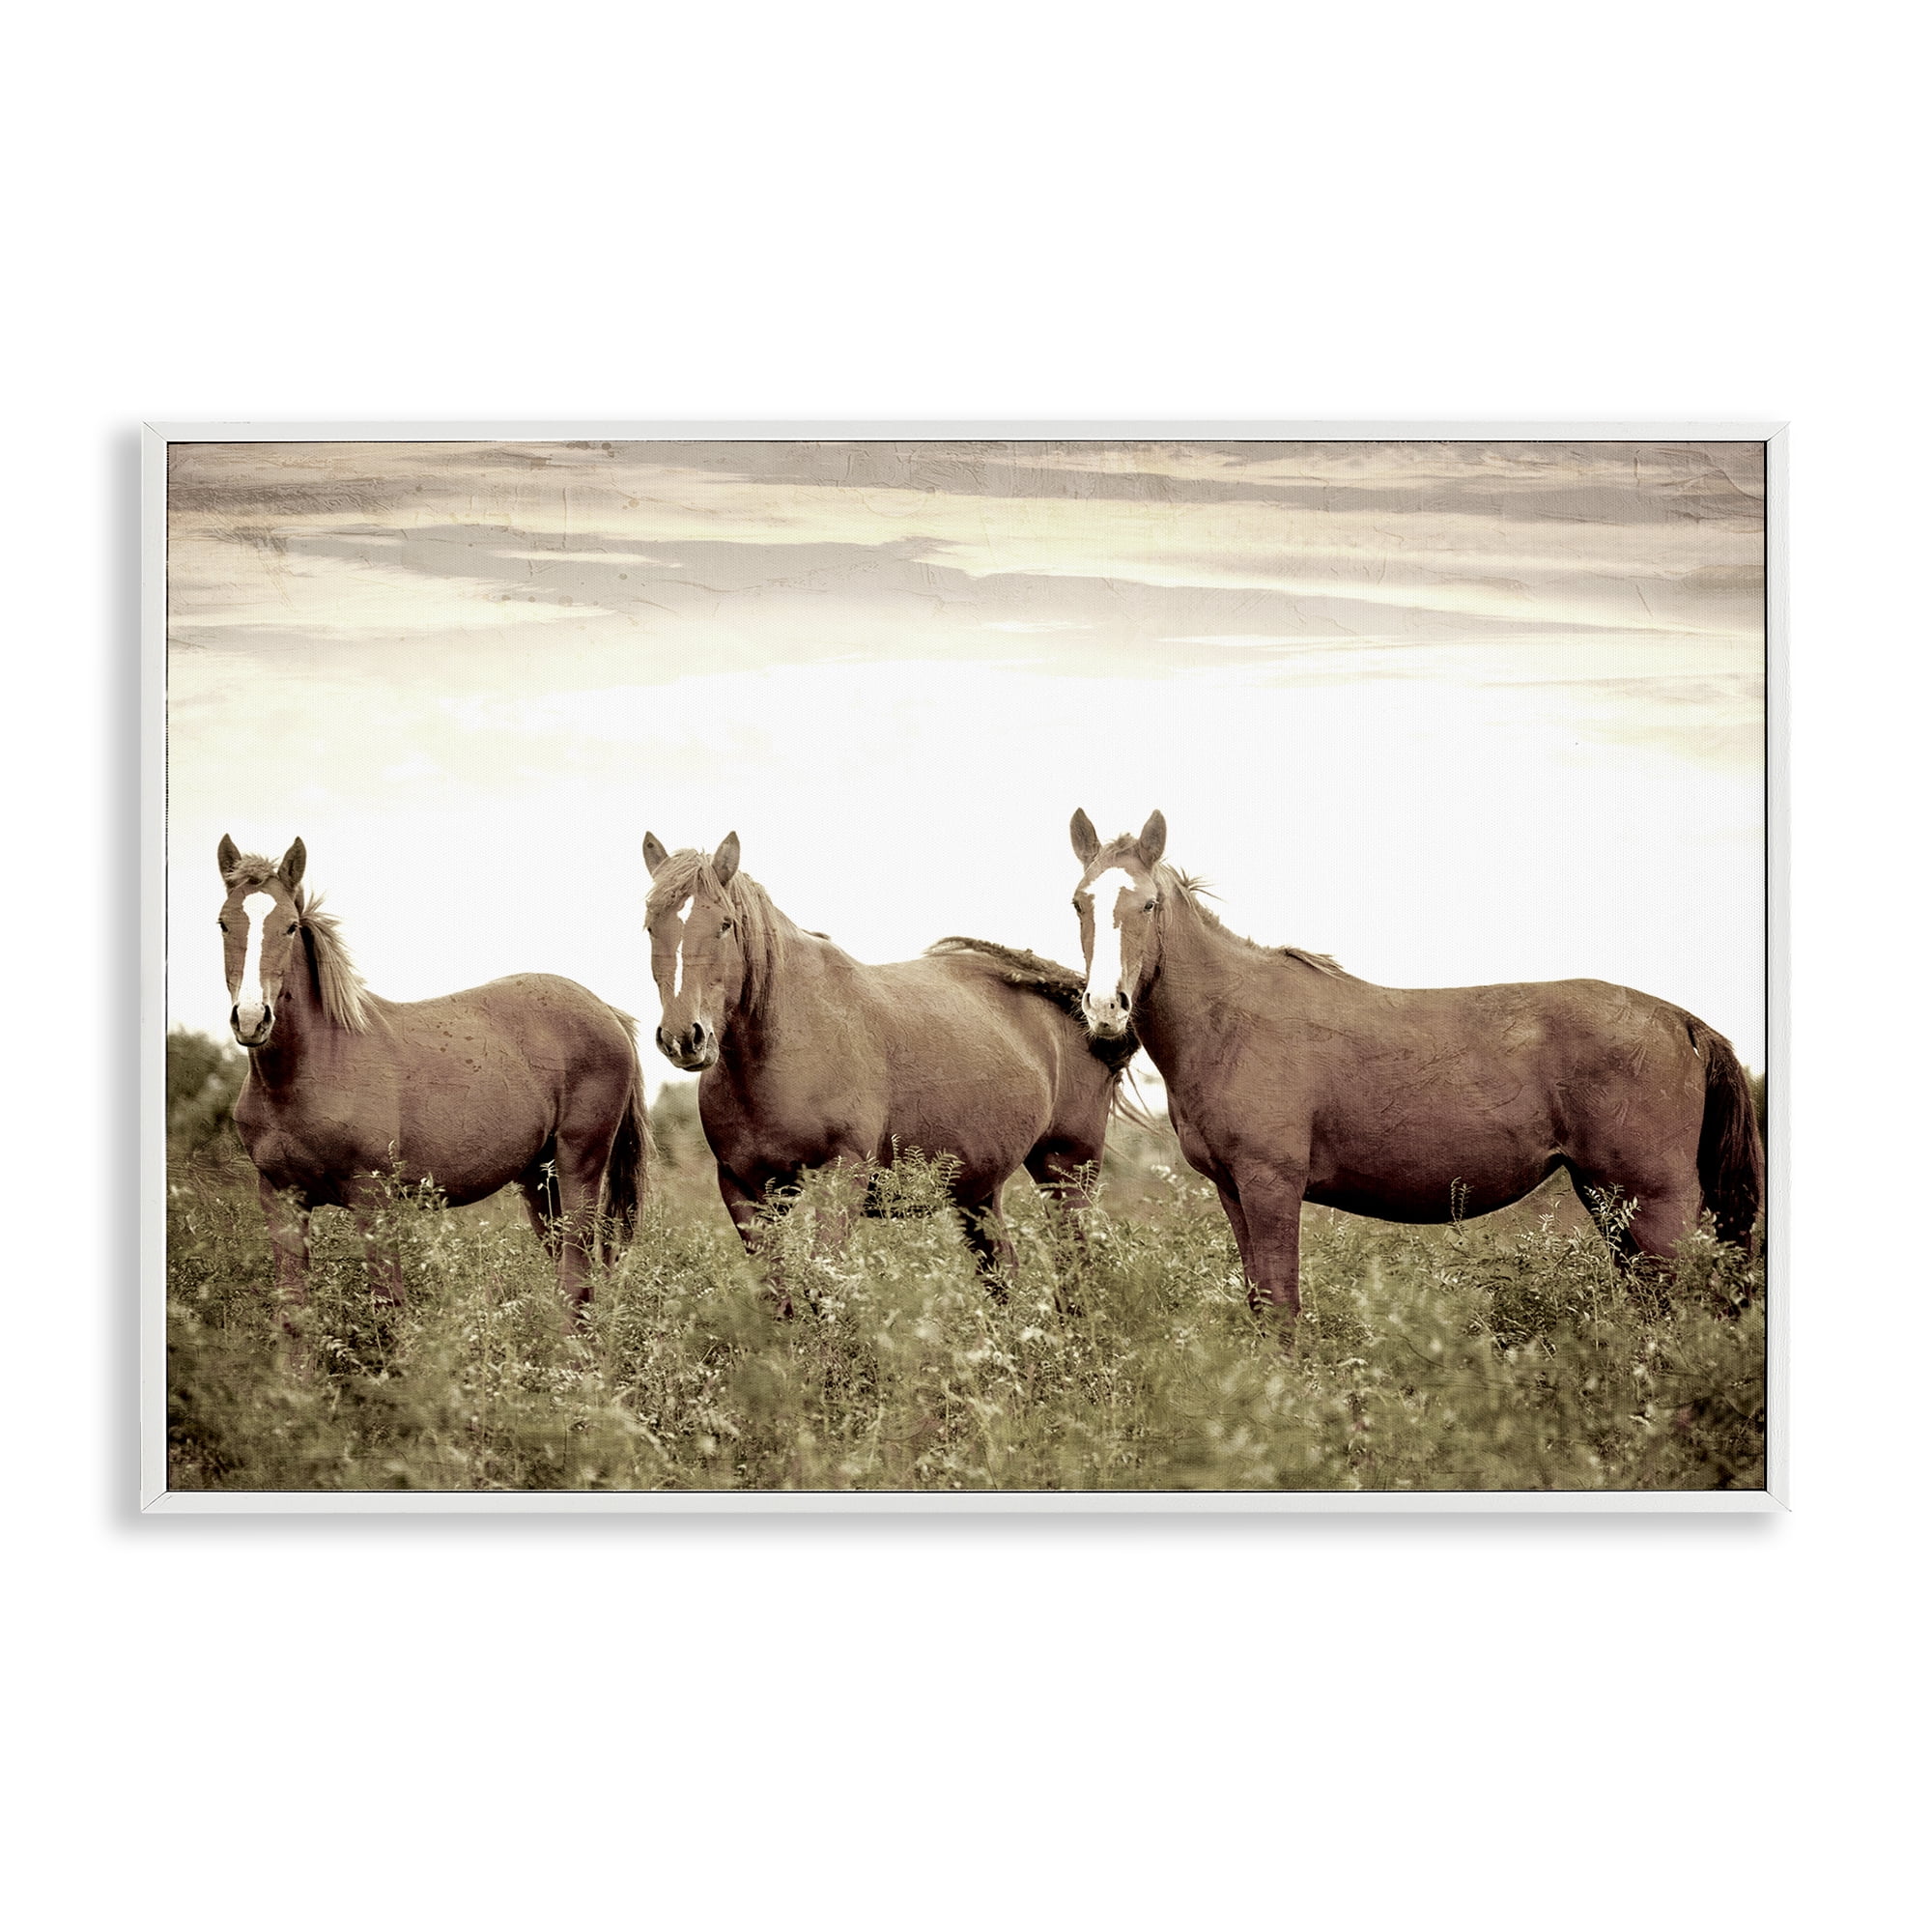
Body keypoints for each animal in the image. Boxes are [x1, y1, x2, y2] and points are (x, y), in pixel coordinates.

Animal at [213, 836, 650, 1317]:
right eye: (223, 924)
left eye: (290, 926)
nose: (251, 1018)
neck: (306, 1072)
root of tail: (606, 1010)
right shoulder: (281, 1199)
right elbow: (293, 1312)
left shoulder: (373, 1200)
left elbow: (388, 1307)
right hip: (539, 1178)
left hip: (578, 1167)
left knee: (576, 1275)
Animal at [640, 831, 1135, 1294]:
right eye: (649, 925)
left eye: (724, 924)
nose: (684, 1038)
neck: (783, 1046)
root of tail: (1085, 1007)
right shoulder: (745, 1190)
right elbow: (777, 1292)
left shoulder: (841, 1178)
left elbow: (824, 1285)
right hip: (978, 1191)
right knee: (1001, 1272)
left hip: (1066, 1173)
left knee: (1076, 1264)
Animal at [1065, 809, 1765, 1319]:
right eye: (1079, 903)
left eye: (1148, 905)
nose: (1104, 1007)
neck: (1231, 1020)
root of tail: (1682, 1021)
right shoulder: (1233, 1190)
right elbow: (1263, 1305)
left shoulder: (1271, 1186)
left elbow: (1284, 1307)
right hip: (1609, 1200)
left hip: (1655, 1204)